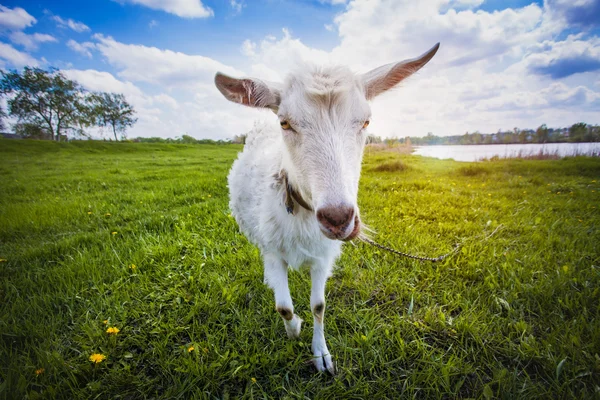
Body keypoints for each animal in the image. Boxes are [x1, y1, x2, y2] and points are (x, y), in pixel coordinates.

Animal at [213, 44, 438, 376]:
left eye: (366, 121)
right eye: (285, 122)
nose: (338, 218)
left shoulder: (322, 256)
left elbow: (318, 306)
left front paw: (321, 354)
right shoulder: (273, 251)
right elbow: (284, 307)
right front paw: (295, 328)